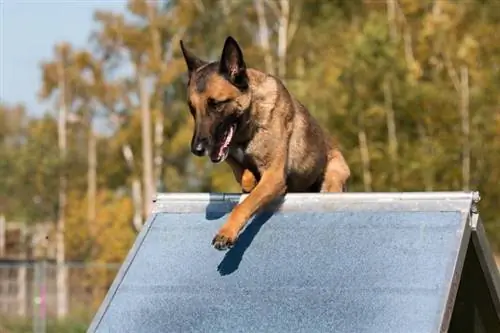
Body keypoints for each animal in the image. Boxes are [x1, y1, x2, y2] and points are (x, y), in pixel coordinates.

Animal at [181, 35, 352, 249]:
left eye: (216, 105)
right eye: (192, 109)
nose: (197, 149)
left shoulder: (273, 176)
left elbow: (244, 205)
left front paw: (226, 232)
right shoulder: (230, 155)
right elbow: (241, 172)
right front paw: (249, 180)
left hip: (334, 177)